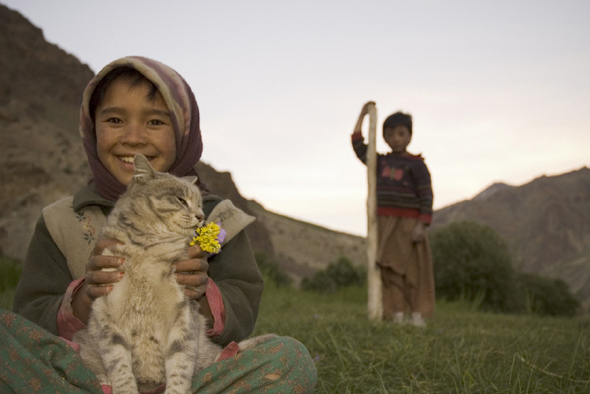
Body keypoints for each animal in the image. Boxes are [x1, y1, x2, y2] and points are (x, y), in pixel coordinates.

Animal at [74, 155, 276, 394]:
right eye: (181, 200)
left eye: (199, 204)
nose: (200, 216)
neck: (147, 246)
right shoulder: (107, 315)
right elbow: (119, 367)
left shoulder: (184, 315)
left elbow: (180, 366)